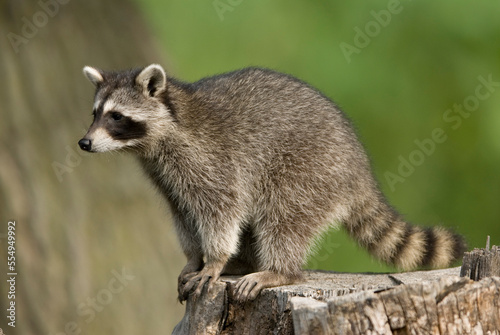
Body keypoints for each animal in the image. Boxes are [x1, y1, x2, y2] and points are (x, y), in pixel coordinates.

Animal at [80, 64, 466, 304]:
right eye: (95, 113)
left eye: (117, 117)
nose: (84, 143)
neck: (160, 135)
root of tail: (358, 167)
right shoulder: (166, 177)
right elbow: (184, 216)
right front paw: (194, 258)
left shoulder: (211, 162)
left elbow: (223, 210)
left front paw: (214, 260)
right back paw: (245, 263)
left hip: (308, 171)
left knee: (282, 217)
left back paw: (279, 271)